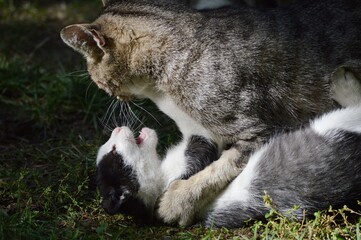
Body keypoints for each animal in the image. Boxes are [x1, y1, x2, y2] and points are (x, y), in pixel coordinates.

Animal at [60, 0, 360, 225]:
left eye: (97, 79)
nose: (111, 95)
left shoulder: (259, 132)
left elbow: (217, 169)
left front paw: (176, 202)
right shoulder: (199, 132)